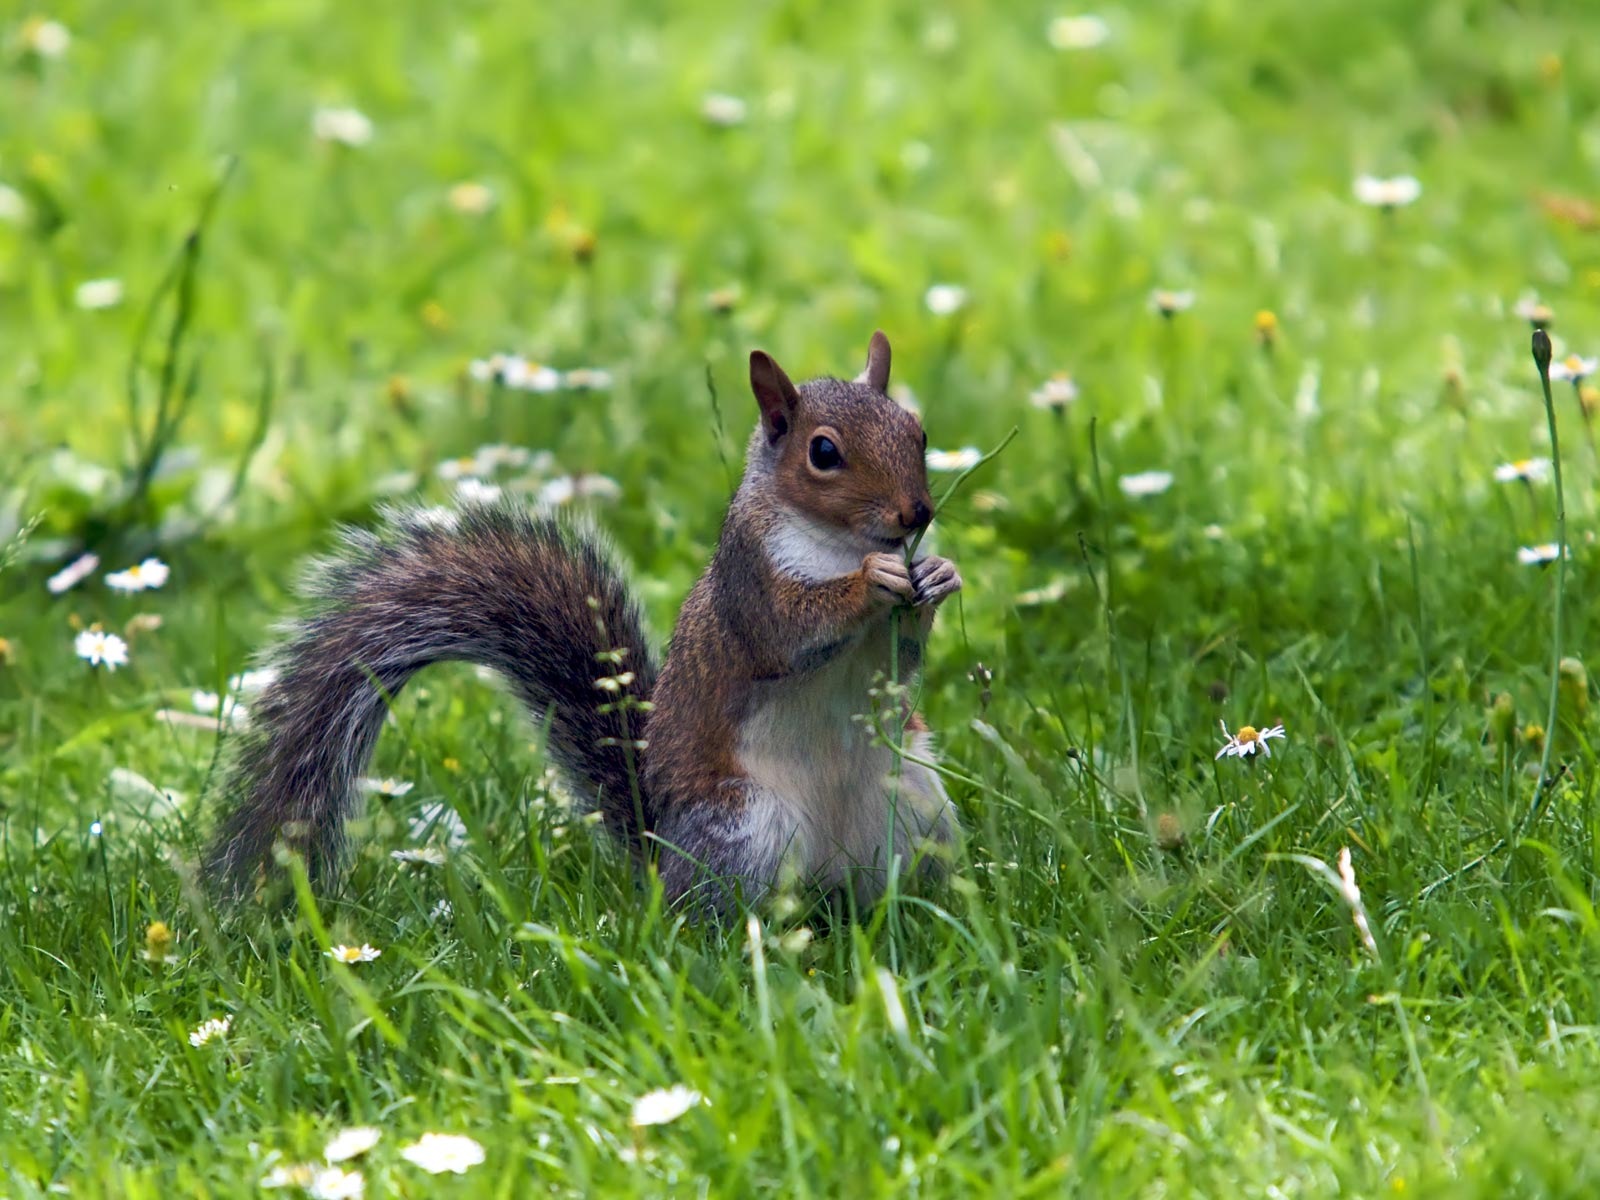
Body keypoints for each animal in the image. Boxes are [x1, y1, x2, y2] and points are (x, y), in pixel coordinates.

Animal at [208, 329, 966, 908]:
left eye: (920, 431)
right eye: (824, 452)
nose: (917, 514)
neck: (840, 543)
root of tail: (662, 855)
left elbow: (900, 658)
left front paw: (936, 575)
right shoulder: (748, 584)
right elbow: (789, 629)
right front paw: (872, 582)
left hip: (915, 804)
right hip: (745, 829)